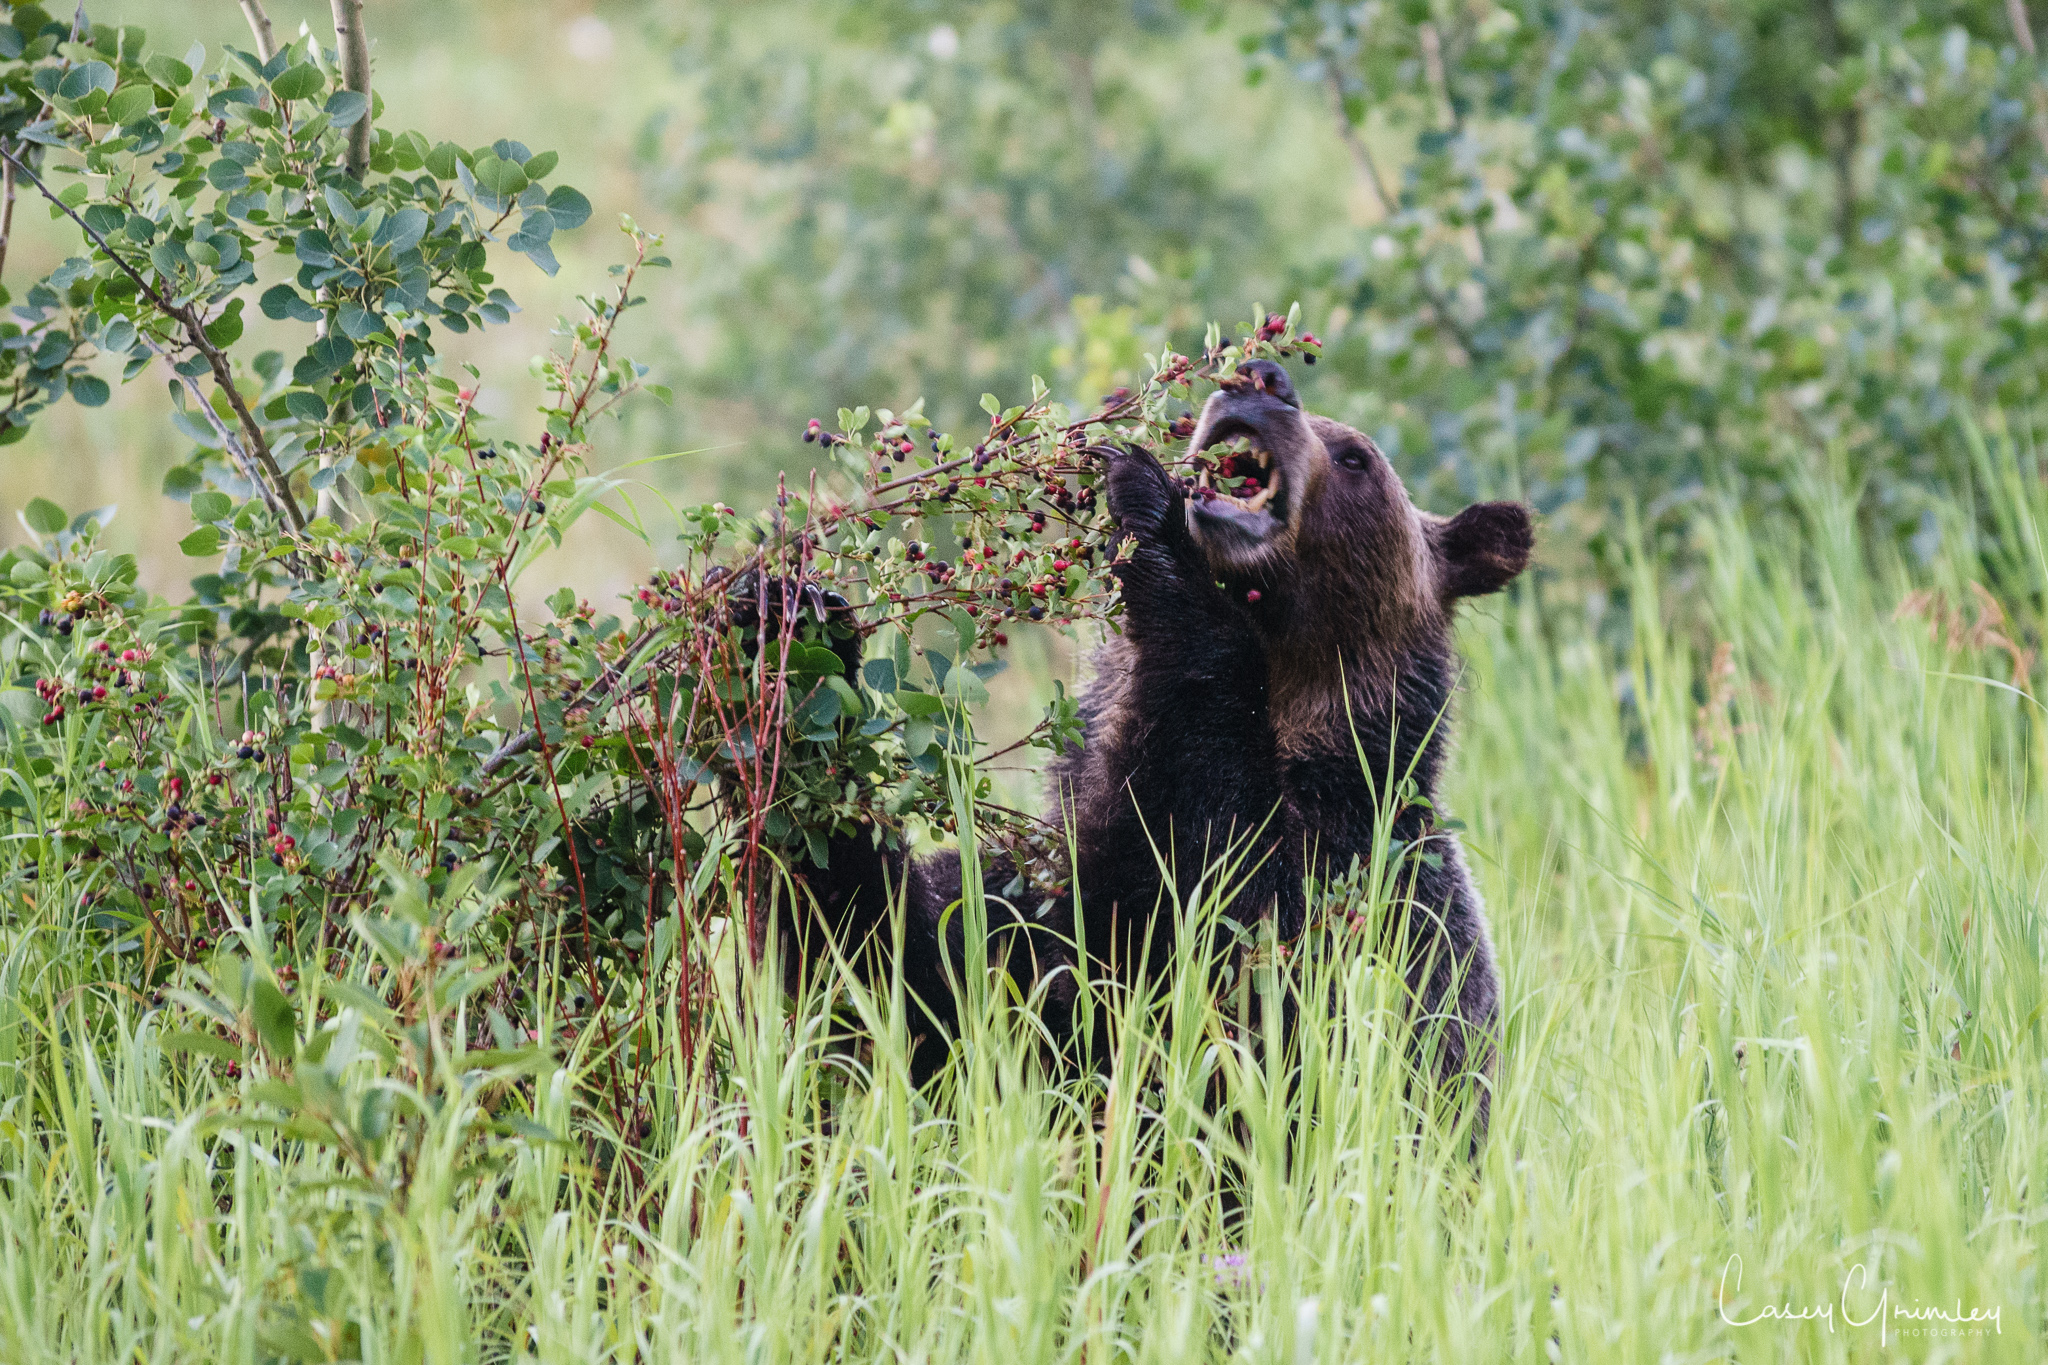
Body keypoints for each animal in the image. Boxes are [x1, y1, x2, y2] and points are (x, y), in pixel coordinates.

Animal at [790, 360, 1531, 1129]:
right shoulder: (1032, 891)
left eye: (1358, 458)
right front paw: (794, 635)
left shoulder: (1330, 895)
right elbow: (898, 965)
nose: (1263, 379)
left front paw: (1149, 504)